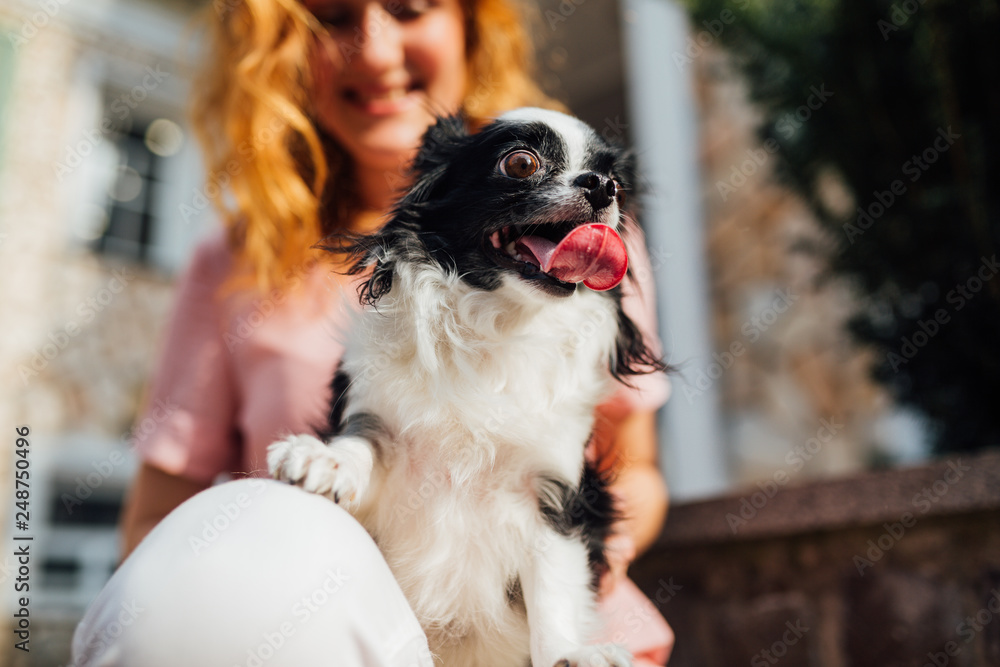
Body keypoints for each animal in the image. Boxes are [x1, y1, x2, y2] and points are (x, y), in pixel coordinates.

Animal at [270, 107, 668, 664]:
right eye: (521, 163)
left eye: (619, 186)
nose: (601, 186)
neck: (498, 323)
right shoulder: (382, 437)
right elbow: (362, 446)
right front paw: (323, 459)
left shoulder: (556, 497)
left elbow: (555, 588)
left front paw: (569, 653)